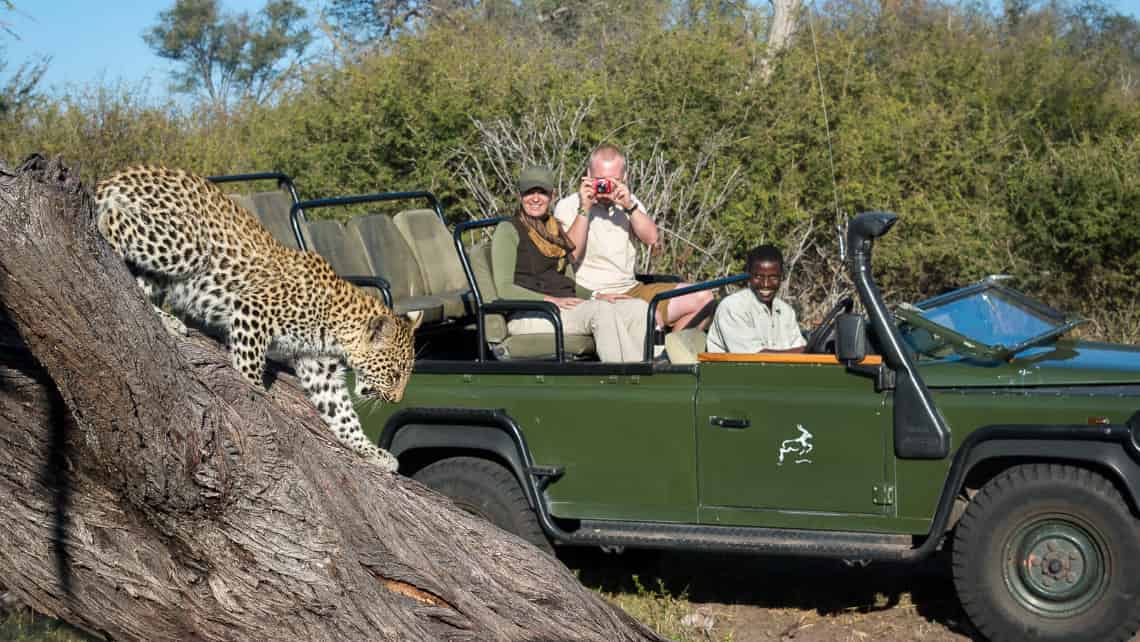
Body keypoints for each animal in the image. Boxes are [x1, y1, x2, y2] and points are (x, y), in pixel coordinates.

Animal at [93, 165, 424, 472]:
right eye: (394, 374)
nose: (396, 400)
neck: (338, 327)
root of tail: (127, 172)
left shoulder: (319, 368)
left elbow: (342, 415)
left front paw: (371, 452)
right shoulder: (254, 309)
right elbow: (249, 363)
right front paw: (256, 394)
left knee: (139, 287)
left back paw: (167, 320)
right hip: (187, 246)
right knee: (113, 221)